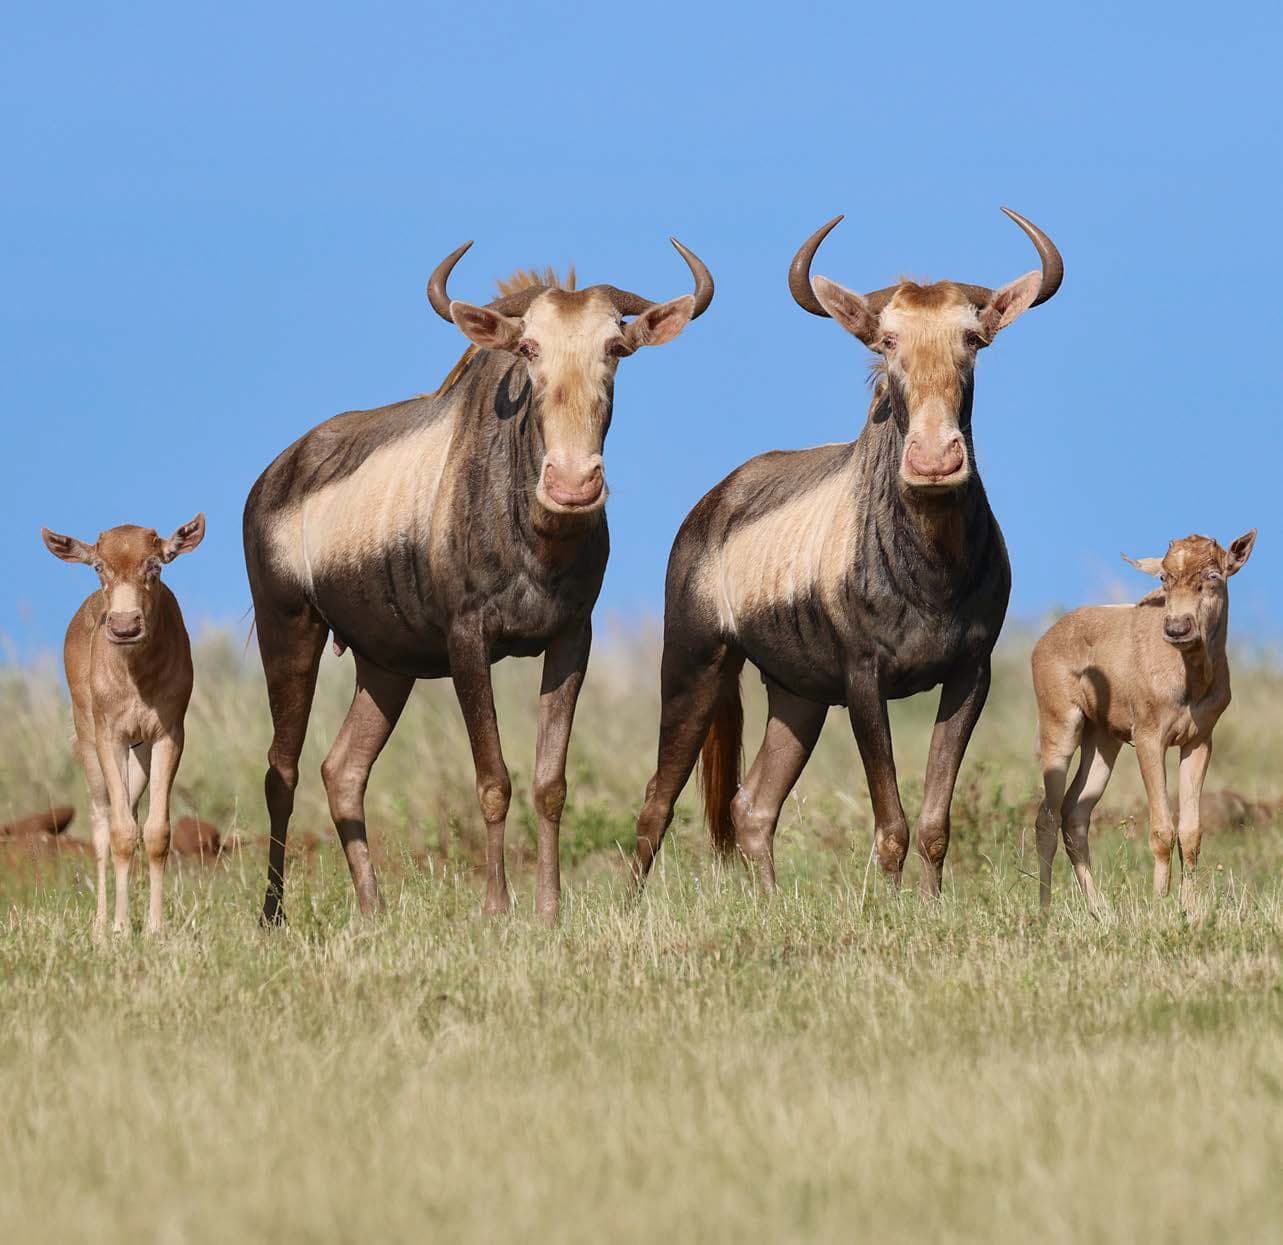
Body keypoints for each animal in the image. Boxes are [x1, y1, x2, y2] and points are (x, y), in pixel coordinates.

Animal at [41, 516, 206, 933]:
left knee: (129, 811)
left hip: (139, 752)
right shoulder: (109, 737)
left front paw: (154, 928)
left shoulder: (167, 736)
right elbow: (117, 832)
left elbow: (156, 832)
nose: (124, 626)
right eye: (99, 566)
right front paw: (118, 928)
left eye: (155, 564)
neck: (135, 677)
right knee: (102, 818)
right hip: (88, 741)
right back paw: (101, 925)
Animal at [244, 240, 714, 925]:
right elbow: (493, 779)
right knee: (282, 770)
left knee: (342, 770)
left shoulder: (571, 639)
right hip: (288, 631)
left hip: (386, 666)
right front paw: (495, 908)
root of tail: (274, 477)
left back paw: (374, 911)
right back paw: (273, 915)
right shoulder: (468, 640)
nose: (574, 484)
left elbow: (549, 784)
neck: (533, 534)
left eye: (616, 348)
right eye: (529, 348)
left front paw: (548, 909)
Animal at [632, 209, 1063, 895]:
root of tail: (711, 506)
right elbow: (892, 824)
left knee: (752, 806)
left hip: (797, 697)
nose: (934, 461)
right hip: (696, 665)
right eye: (886, 340)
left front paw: (929, 907)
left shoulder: (972, 674)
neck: (931, 570)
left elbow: (934, 822)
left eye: (973, 338)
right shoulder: (865, 680)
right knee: (657, 800)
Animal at [1033, 530, 1257, 913]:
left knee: (1075, 812)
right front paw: (1159, 906)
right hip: (1060, 727)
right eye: (1164, 577)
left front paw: (1187, 909)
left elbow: (1191, 832)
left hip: (1102, 741)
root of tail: (1045, 638)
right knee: (1046, 816)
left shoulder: (1198, 742)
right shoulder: (1150, 739)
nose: (1178, 628)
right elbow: (1162, 830)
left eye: (1213, 574)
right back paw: (1045, 911)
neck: (1187, 678)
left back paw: (1100, 911)